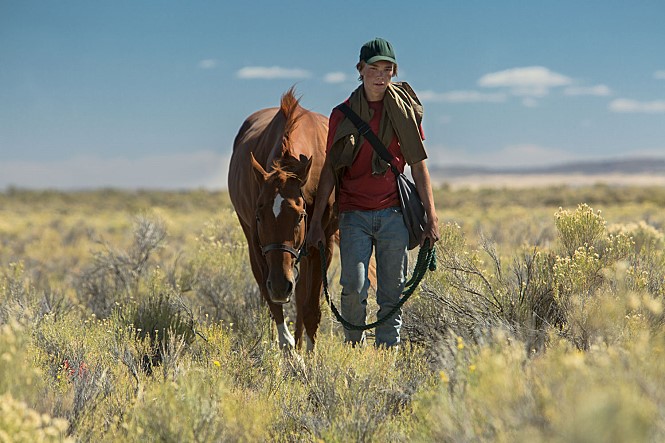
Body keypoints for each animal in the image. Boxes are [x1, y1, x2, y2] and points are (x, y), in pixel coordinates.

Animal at [227, 87, 338, 350]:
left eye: (300, 216)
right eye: (259, 216)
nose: (279, 285)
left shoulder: (322, 244)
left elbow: (310, 310)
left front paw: (309, 354)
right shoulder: (259, 245)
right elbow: (274, 305)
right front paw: (291, 354)